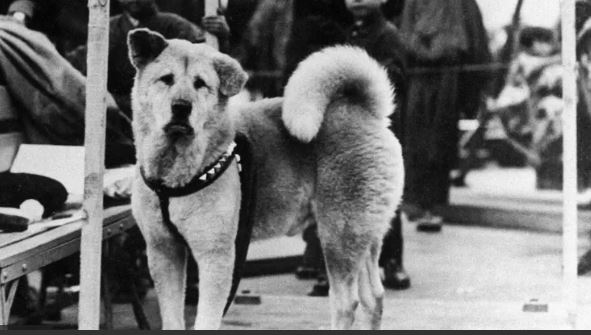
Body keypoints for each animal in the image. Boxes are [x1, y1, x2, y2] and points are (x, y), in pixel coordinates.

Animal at [129, 28, 404, 330]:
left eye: (200, 84)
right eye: (166, 79)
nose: (181, 106)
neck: (175, 173)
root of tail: (364, 111)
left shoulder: (216, 256)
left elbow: (207, 318)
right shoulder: (163, 251)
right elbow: (172, 316)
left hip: (339, 236)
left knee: (347, 303)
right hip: (364, 236)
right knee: (374, 297)